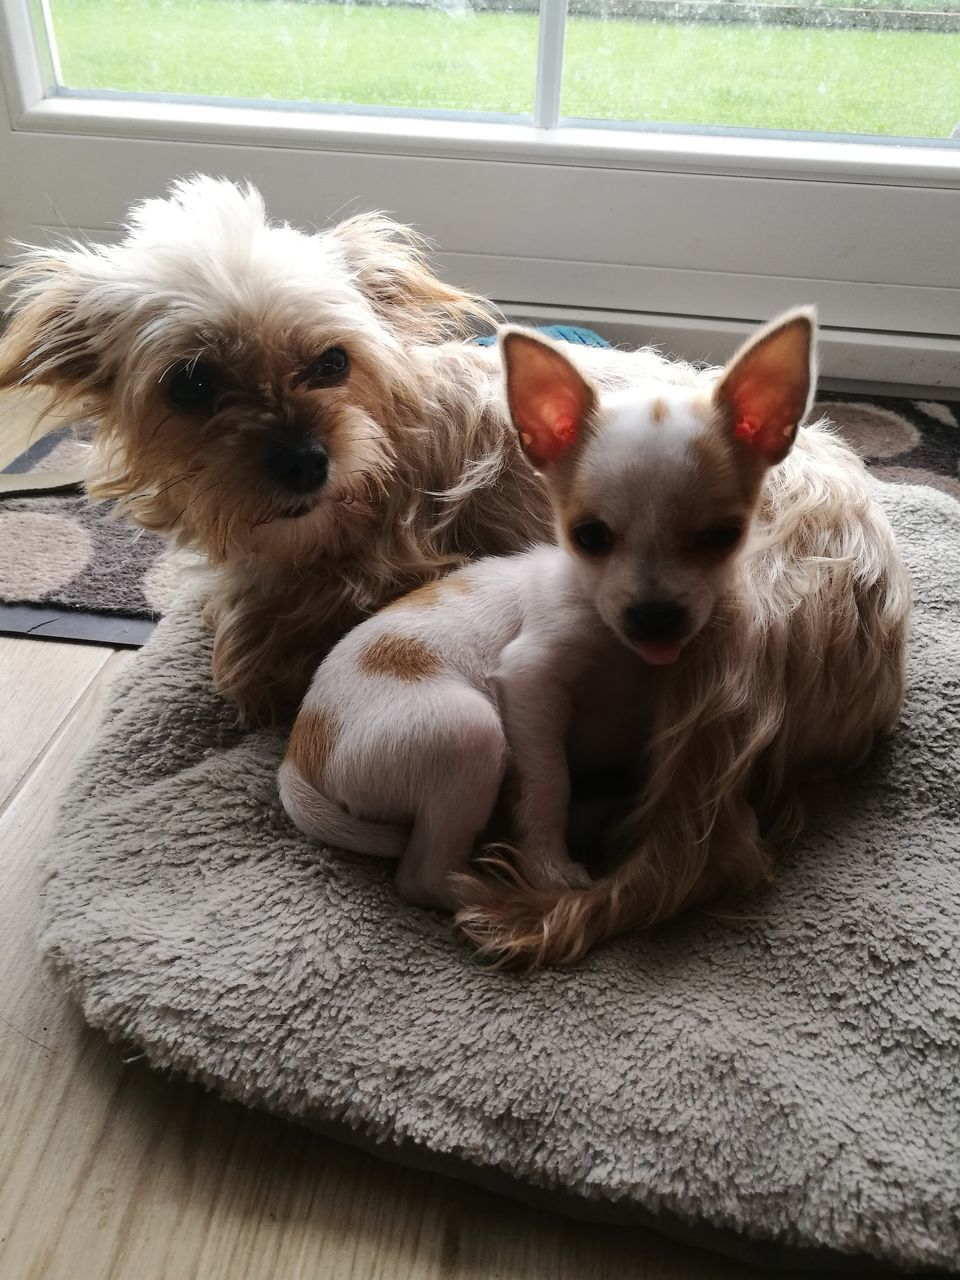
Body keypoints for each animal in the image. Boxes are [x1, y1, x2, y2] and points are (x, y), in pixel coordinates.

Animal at [281, 308, 906, 936]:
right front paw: (551, 867)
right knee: (421, 874)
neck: (625, 652)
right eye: (589, 537)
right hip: (468, 734)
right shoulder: (529, 682)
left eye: (723, 536)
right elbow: (549, 782)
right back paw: (490, 893)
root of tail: (298, 757)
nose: (655, 617)